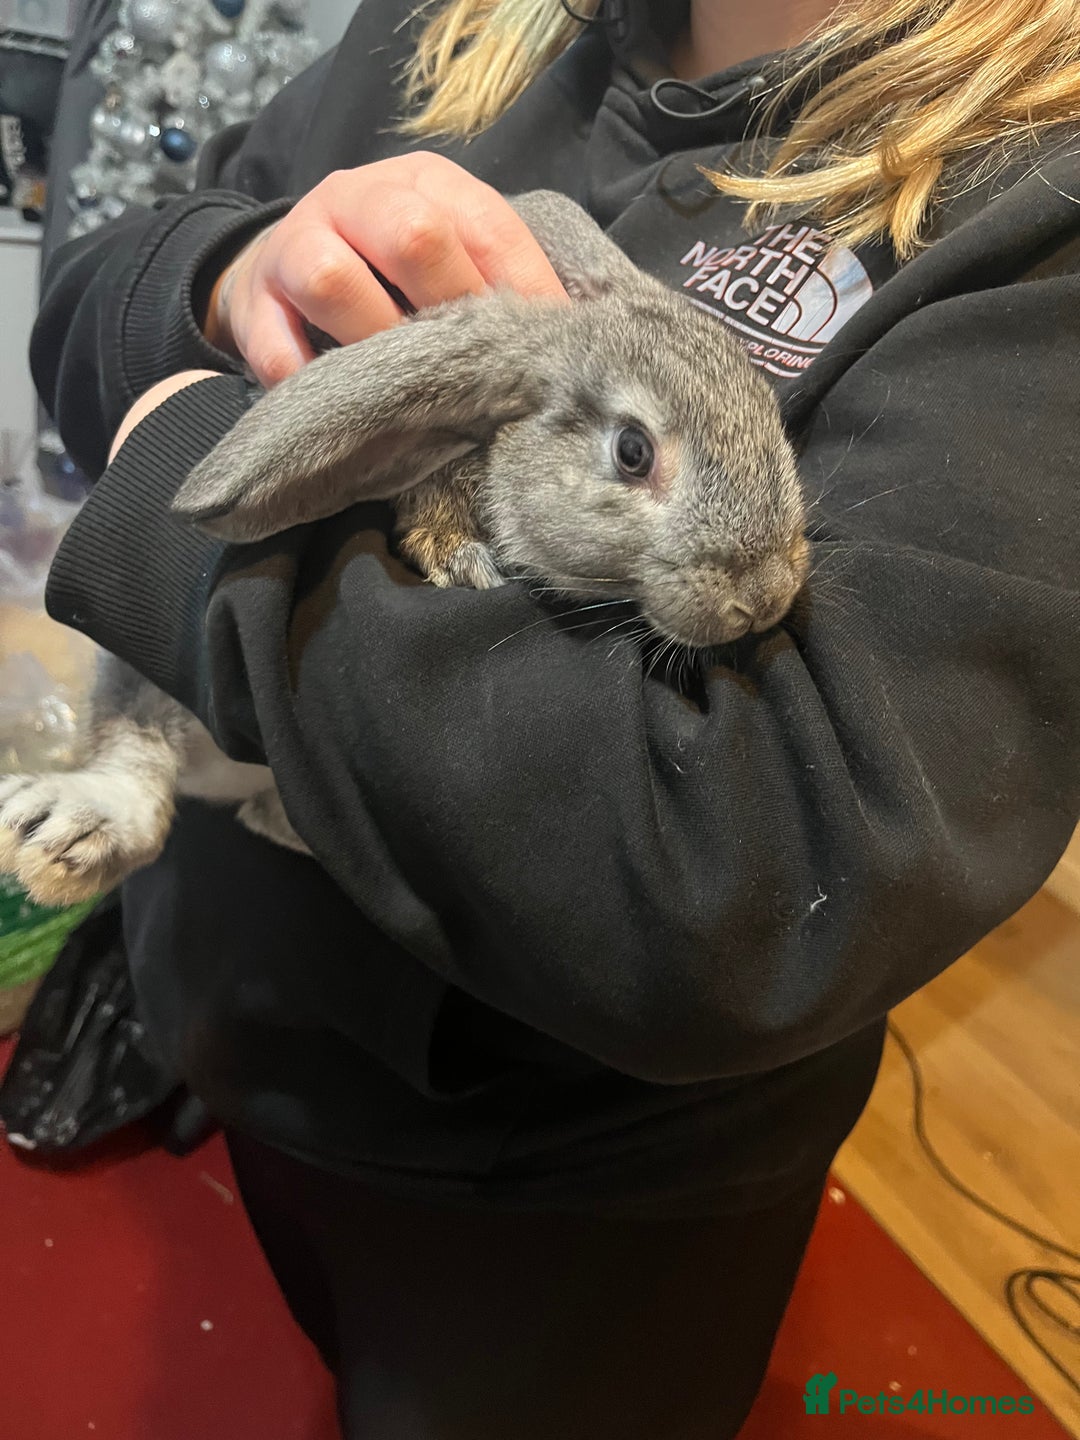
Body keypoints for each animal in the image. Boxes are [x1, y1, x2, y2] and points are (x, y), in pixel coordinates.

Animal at [0, 190, 808, 907]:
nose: (765, 595)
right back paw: (56, 830)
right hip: (137, 688)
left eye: (770, 414)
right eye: (633, 452)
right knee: (135, 751)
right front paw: (461, 557)